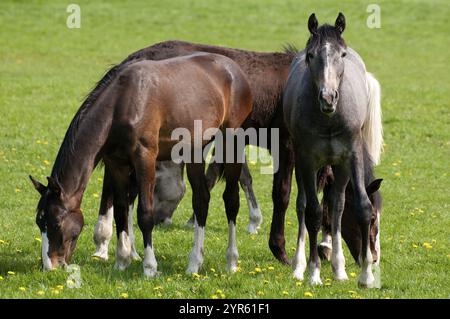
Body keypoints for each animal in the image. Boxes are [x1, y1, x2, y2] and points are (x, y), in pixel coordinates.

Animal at [29, 53, 251, 278]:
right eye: (39, 222)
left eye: (56, 222)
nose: (50, 266)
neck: (122, 103)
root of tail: (233, 70)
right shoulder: (116, 164)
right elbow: (120, 212)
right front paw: (121, 261)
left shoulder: (145, 159)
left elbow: (145, 214)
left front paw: (150, 267)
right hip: (195, 151)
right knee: (201, 200)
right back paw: (194, 264)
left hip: (231, 143)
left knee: (231, 200)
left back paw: (231, 262)